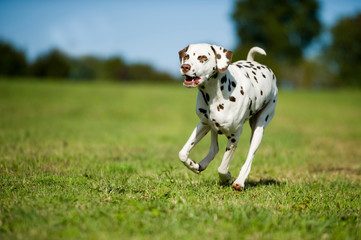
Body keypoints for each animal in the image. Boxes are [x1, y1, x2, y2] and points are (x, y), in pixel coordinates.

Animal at [179, 42, 278, 190]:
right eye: (186, 56)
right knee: (214, 149)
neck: (215, 94)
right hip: (212, 127)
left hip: (258, 130)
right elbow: (182, 154)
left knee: (249, 158)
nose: (185, 67)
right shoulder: (203, 124)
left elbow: (223, 167)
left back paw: (239, 181)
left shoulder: (234, 135)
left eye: (203, 58)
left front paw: (226, 177)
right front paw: (193, 165)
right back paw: (202, 164)